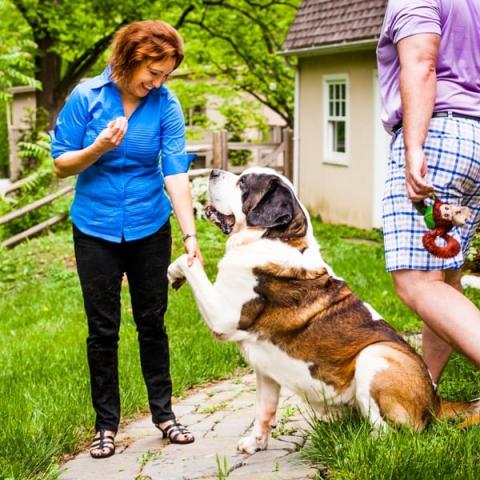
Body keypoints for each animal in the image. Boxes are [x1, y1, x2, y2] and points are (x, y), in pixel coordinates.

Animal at [168, 167, 480, 452]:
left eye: (243, 182)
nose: (212, 171)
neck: (275, 238)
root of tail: (436, 399)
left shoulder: (223, 317)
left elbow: (188, 262)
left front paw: (178, 269)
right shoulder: (265, 367)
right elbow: (264, 409)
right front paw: (256, 442)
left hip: (375, 355)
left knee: (391, 435)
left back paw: (355, 445)